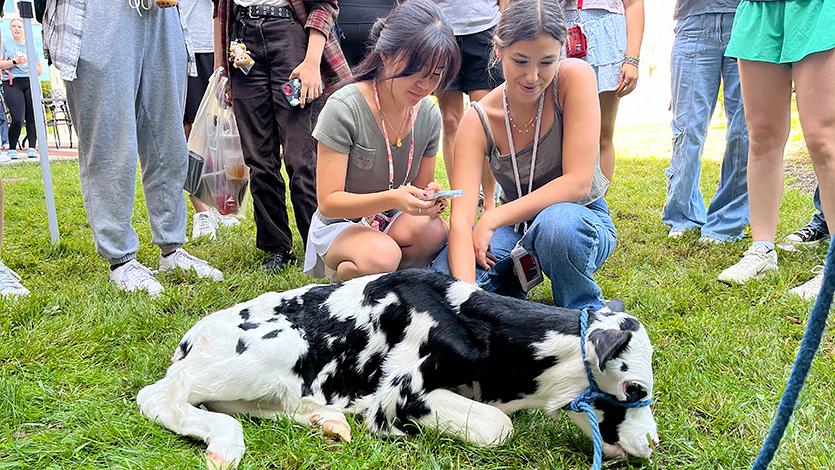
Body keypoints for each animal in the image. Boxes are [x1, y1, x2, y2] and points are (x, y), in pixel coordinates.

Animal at [139, 268, 660, 466]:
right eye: (634, 387)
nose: (654, 442)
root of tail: (192, 337)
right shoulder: (400, 394)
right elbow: (498, 428)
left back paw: (327, 420)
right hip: (276, 347)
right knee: (160, 395)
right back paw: (224, 446)